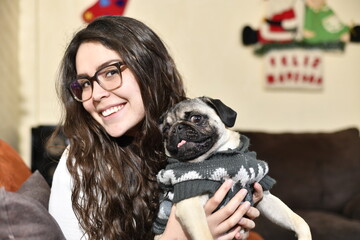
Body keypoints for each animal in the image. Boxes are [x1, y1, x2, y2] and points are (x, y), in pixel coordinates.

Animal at [155, 96, 312, 239]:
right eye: (166, 130)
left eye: (196, 118)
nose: (176, 128)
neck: (219, 154)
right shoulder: (190, 204)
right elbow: (205, 235)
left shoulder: (265, 196)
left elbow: (298, 220)